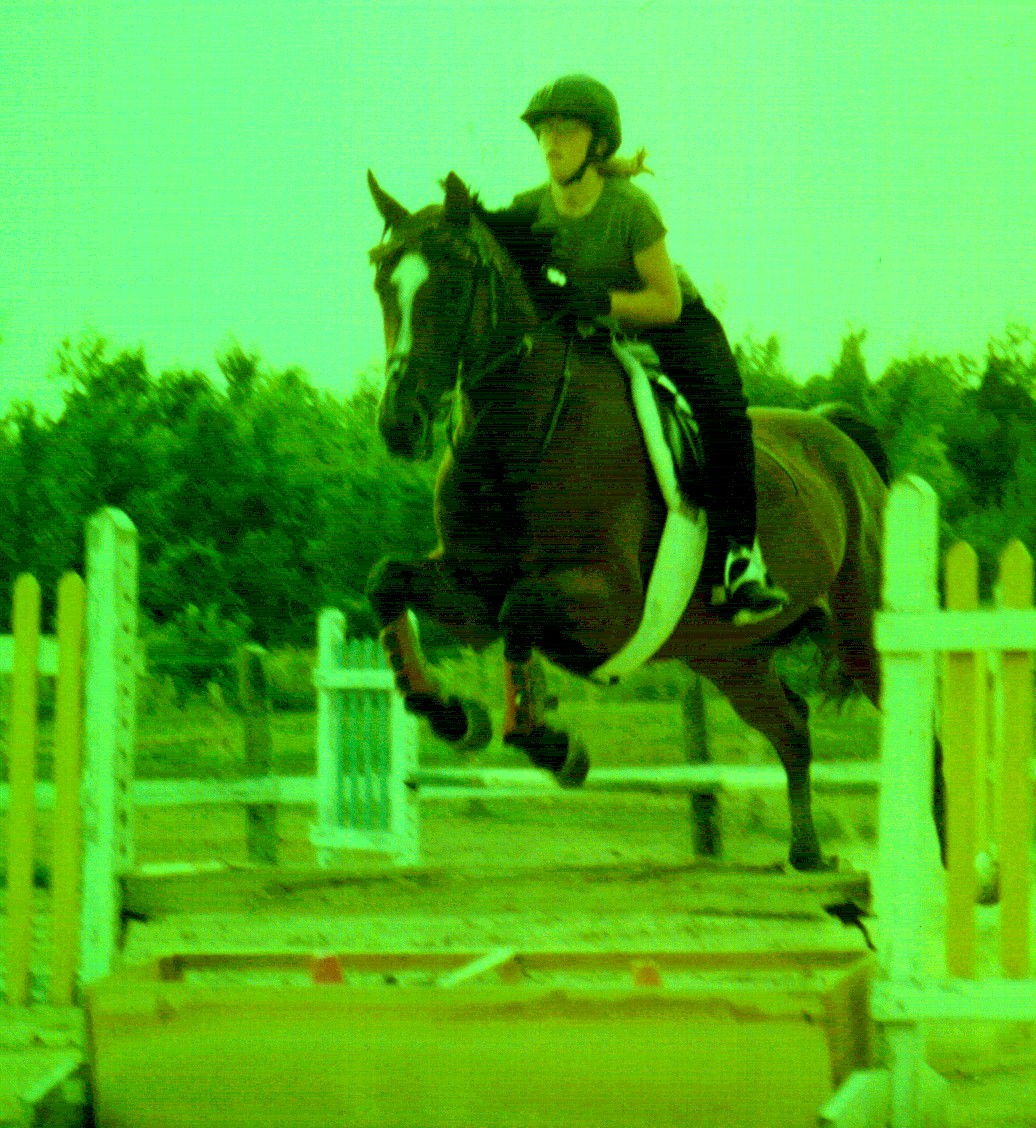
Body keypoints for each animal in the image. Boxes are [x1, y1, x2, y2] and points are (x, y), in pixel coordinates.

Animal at [362, 168, 947, 874]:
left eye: (450, 281)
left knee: (924, 730)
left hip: (863, 632)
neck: (523, 434)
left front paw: (558, 749)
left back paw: (959, 862)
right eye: (382, 281)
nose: (399, 423)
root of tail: (841, 439)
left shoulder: (612, 604)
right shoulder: (471, 595)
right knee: (792, 725)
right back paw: (806, 853)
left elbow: (520, 610)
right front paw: (453, 715)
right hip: (729, 656)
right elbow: (389, 580)